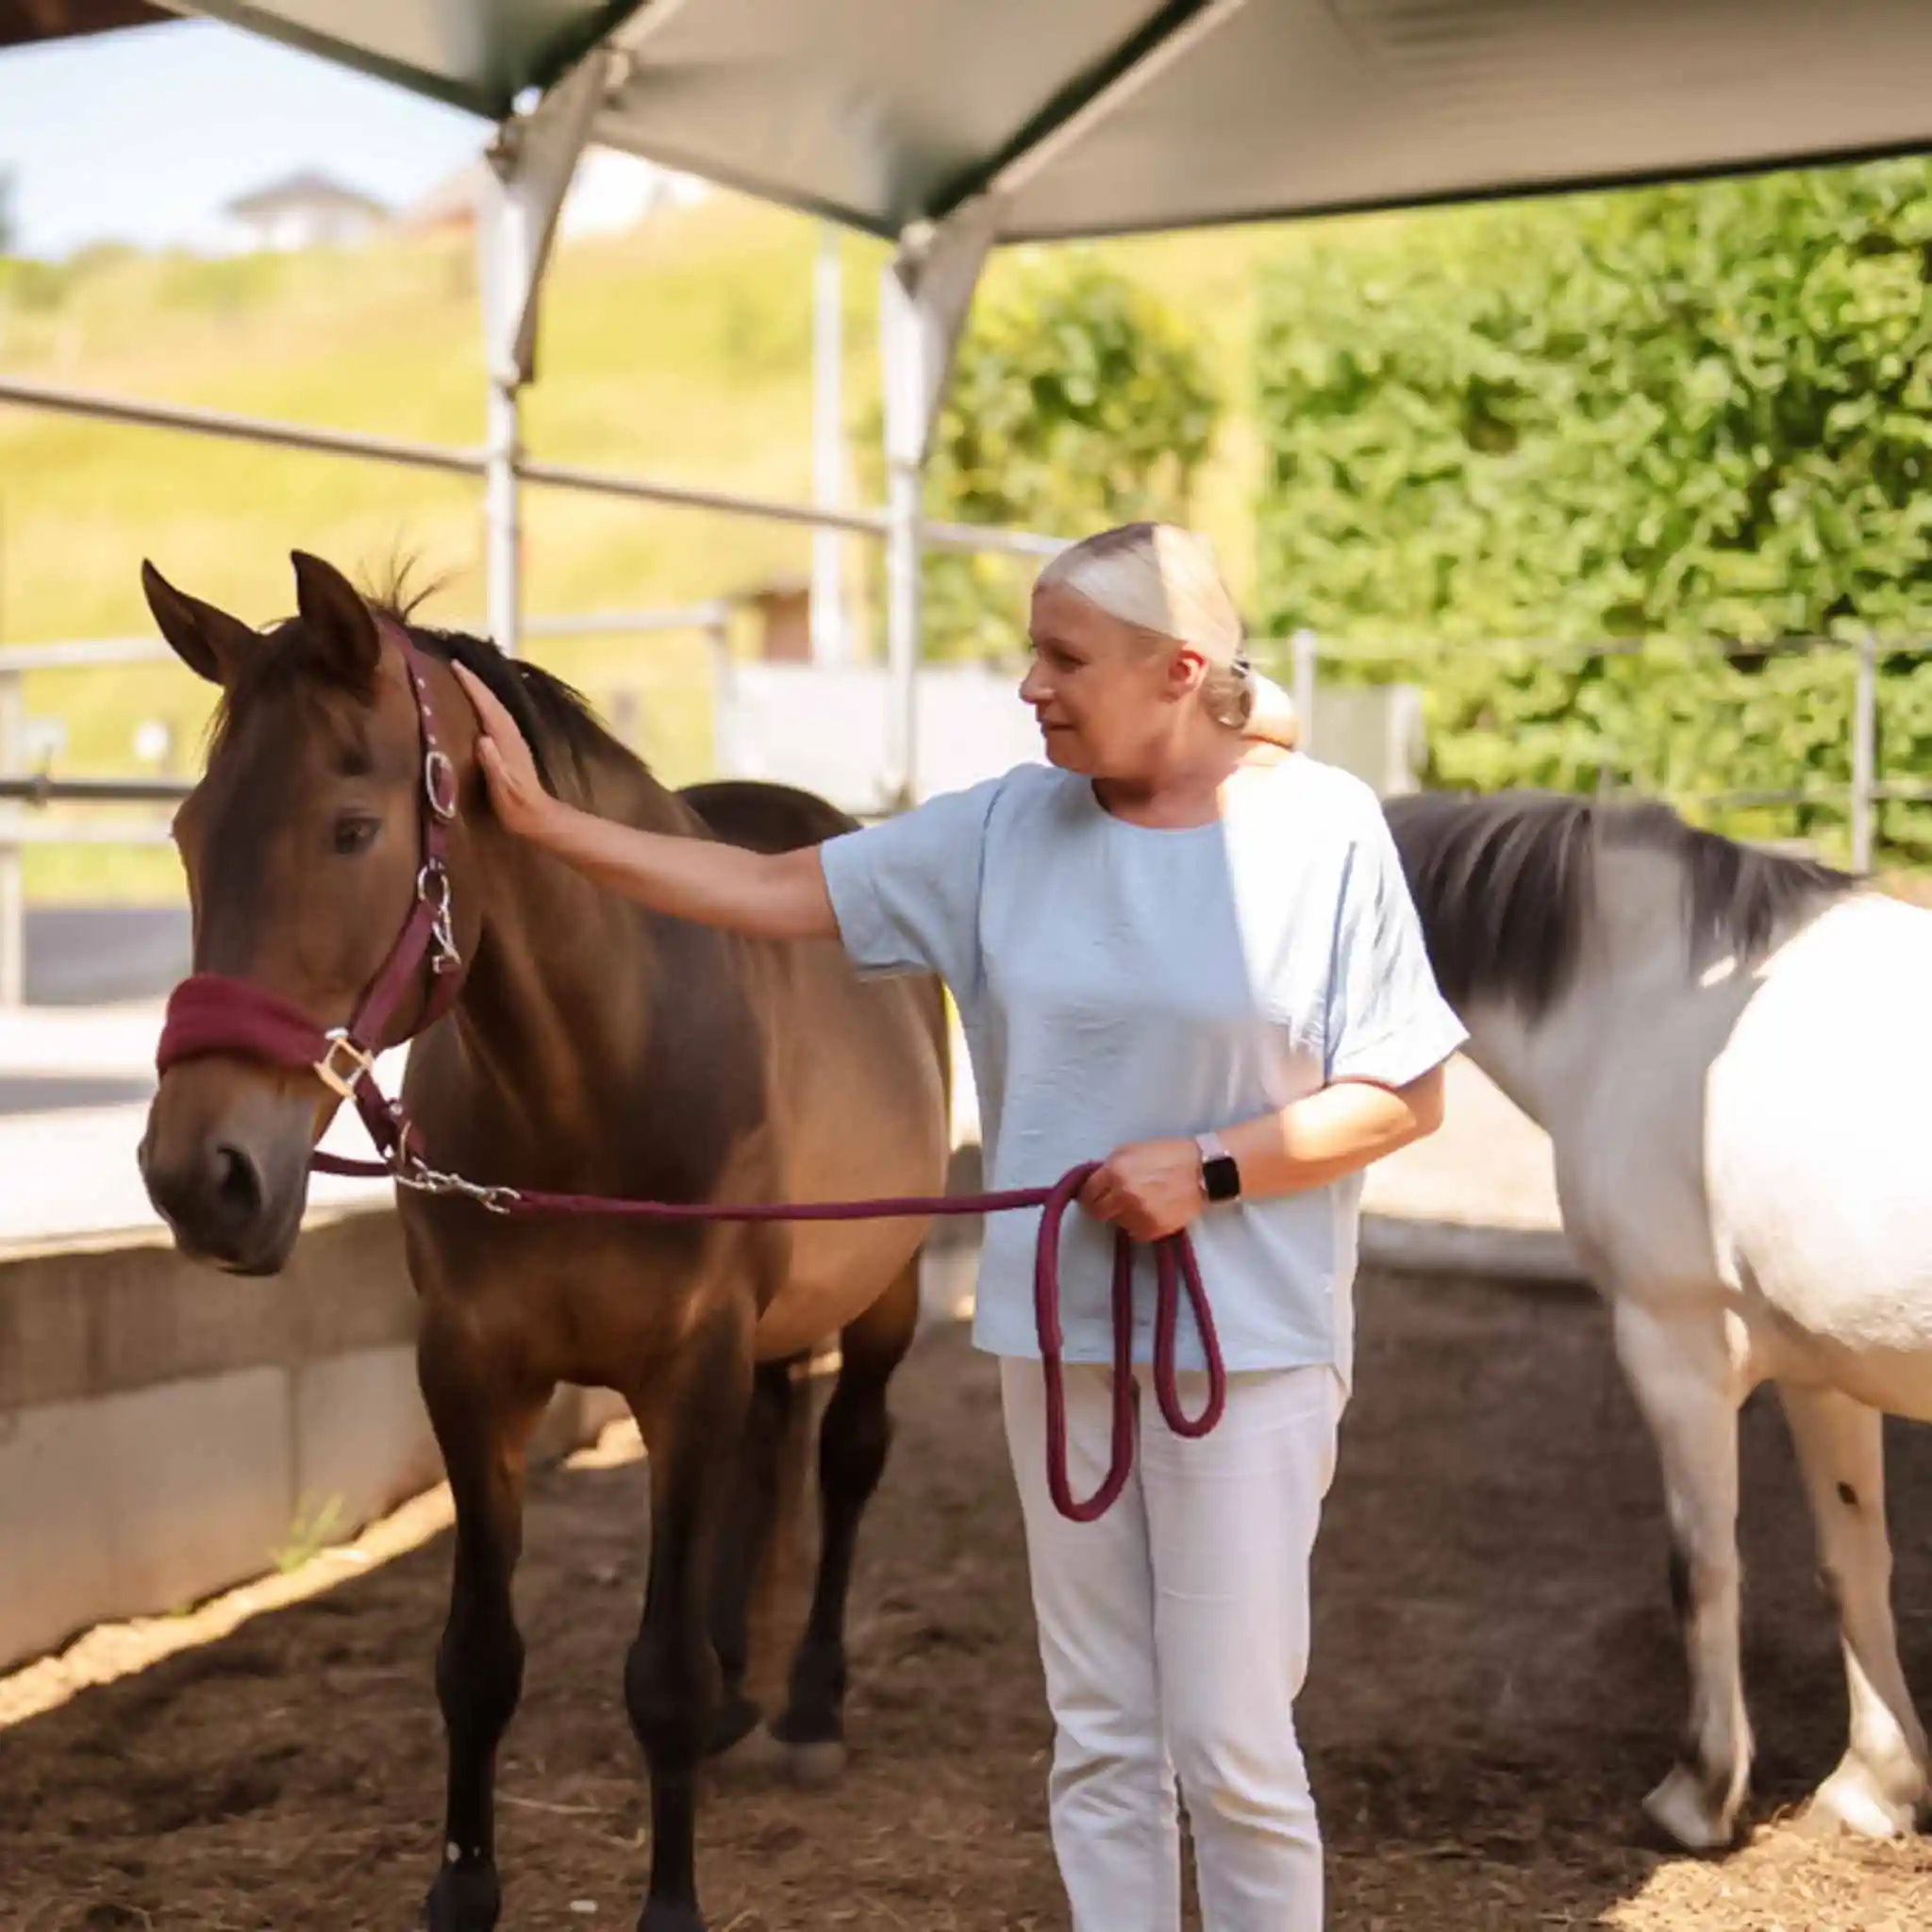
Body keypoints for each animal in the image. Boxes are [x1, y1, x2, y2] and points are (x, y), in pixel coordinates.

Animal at [134, 551, 951, 1932]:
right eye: (191, 836)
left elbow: (658, 1675)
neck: (590, 1086)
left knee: (845, 1456)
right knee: (773, 1443)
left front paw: (671, 1901)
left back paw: (806, 1705)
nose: (201, 1176)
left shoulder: (688, 1369)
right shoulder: (472, 1372)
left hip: (882, 1287)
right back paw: (746, 1684)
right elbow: (476, 1661)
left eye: (350, 830)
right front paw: (463, 1890)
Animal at [1384, 787, 1932, 1851]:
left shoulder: (1674, 1349)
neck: (1650, 1003)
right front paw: (1875, 1784)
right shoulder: (1824, 1369)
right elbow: (1851, 1562)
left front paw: (1697, 1792)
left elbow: (1701, 1567)